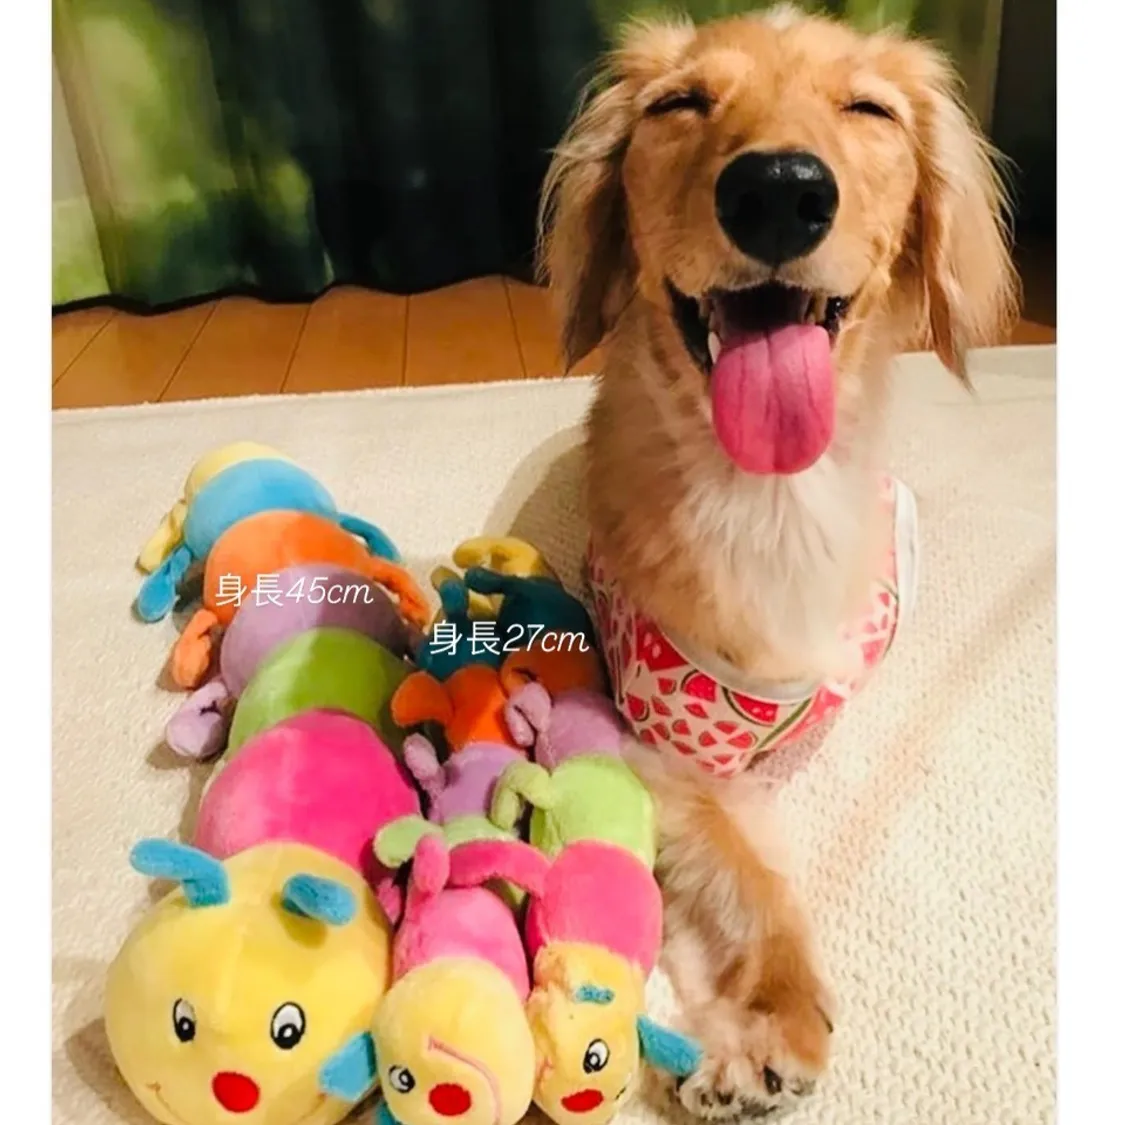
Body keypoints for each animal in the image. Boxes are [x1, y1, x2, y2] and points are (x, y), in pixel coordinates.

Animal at [537, 5, 1017, 1119]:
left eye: (869, 109)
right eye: (679, 104)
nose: (779, 191)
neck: (770, 500)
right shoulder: (674, 749)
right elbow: (753, 880)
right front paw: (773, 1016)